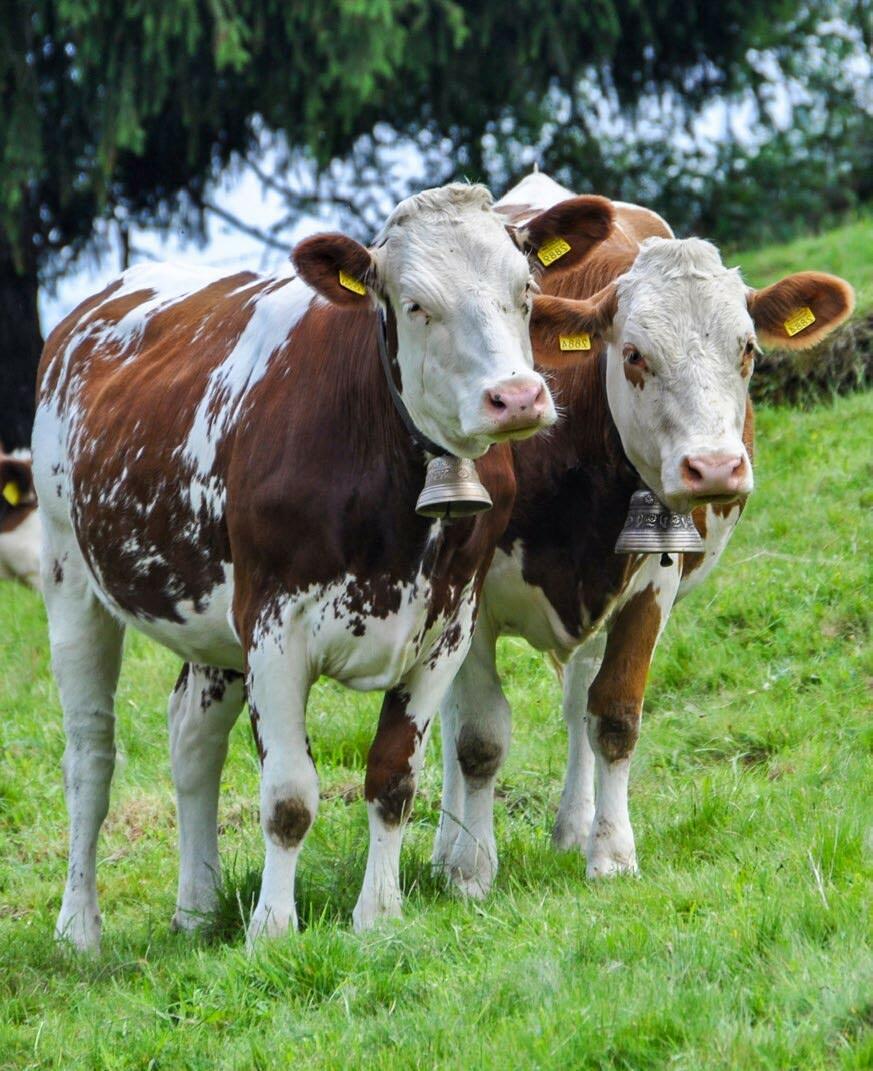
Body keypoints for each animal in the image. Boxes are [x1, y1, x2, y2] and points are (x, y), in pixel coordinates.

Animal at [33, 182, 617, 951]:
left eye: (524, 291)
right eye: (414, 304)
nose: (516, 397)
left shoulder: (446, 626)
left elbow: (393, 779)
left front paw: (379, 915)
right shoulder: (273, 627)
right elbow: (288, 796)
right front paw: (273, 929)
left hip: (210, 619)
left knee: (192, 739)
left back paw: (198, 907)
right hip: (69, 576)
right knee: (89, 756)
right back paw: (79, 926)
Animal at [432, 171, 855, 895]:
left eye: (746, 350)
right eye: (632, 354)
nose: (713, 467)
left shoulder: (650, 583)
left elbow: (614, 712)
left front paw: (609, 853)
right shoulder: (473, 596)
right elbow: (477, 735)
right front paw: (469, 869)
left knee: (577, 694)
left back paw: (572, 825)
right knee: (446, 714)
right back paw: (442, 843)